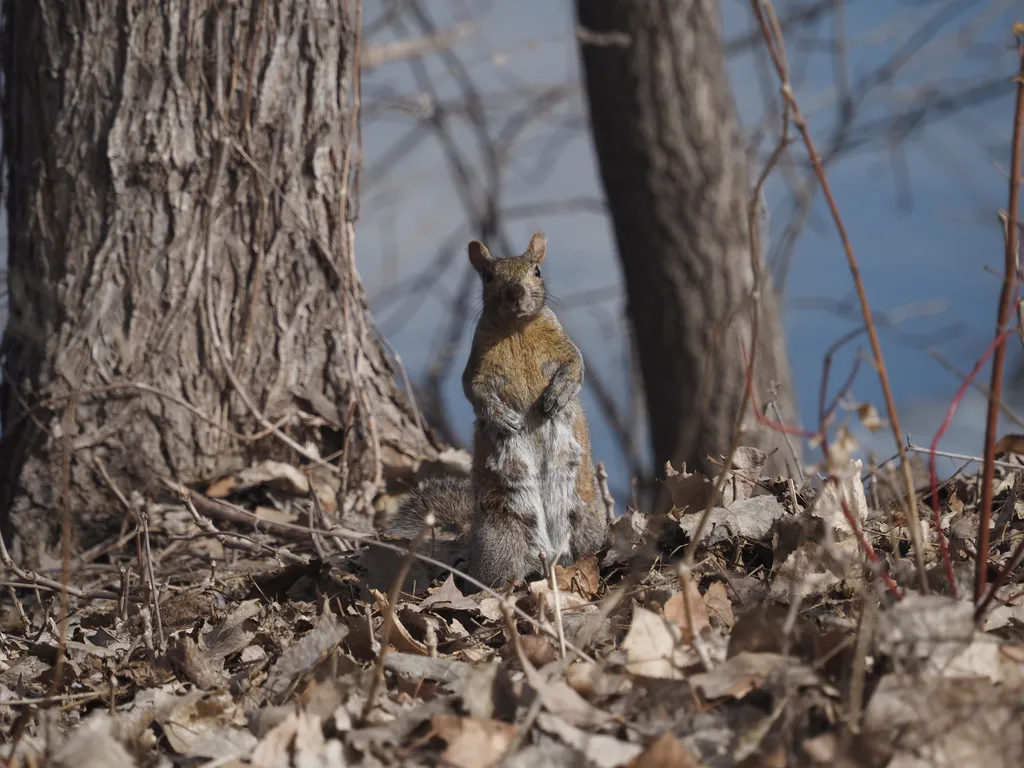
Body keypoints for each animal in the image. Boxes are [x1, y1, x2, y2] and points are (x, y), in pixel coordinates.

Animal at [387, 233, 602, 589]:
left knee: (589, 548)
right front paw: (506, 419)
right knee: (497, 576)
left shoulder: (567, 351)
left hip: (585, 516)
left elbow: (574, 371)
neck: (517, 329)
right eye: (488, 276)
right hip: (501, 539)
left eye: (537, 270)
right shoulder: (475, 370)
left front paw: (554, 400)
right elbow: (475, 394)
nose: (516, 293)